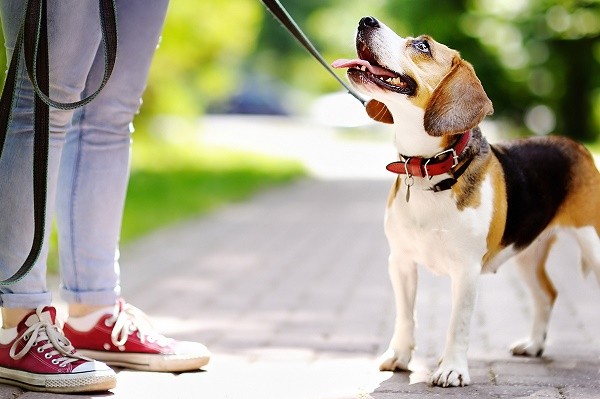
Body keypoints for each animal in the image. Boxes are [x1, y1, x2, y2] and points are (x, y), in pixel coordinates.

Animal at [332, 16, 600, 388]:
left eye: (422, 46)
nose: (365, 20)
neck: (429, 169)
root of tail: (575, 145)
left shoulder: (467, 270)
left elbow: (457, 324)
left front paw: (452, 369)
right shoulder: (400, 261)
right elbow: (405, 315)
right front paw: (399, 356)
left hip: (592, 241)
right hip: (527, 253)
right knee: (547, 295)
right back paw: (533, 344)